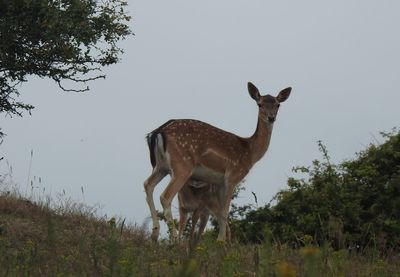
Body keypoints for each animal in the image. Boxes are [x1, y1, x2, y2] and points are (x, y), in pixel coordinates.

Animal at [144, 81, 290, 240]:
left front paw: (223, 241)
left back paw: (155, 232)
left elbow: (220, 213)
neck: (250, 153)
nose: (271, 117)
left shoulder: (219, 182)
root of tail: (158, 132)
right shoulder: (232, 176)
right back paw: (174, 238)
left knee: (147, 185)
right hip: (182, 165)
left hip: (161, 166)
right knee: (165, 196)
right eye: (260, 104)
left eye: (277, 105)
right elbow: (224, 212)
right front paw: (220, 241)